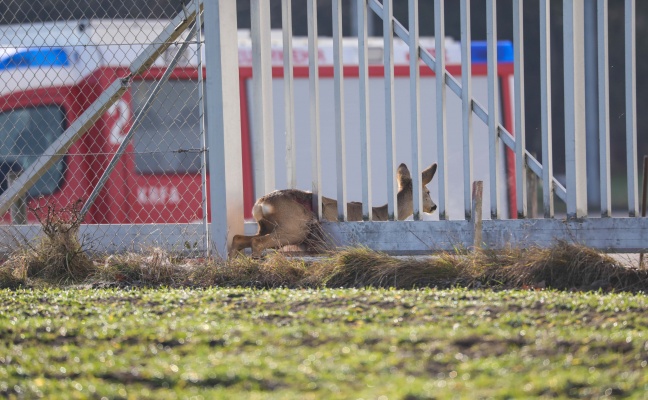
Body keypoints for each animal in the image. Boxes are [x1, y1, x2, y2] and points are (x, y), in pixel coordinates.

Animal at [230, 162, 438, 256]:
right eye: (427, 192)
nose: (434, 206)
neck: (381, 215)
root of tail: (260, 204)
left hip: (266, 226)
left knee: (239, 238)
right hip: (295, 227)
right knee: (257, 242)